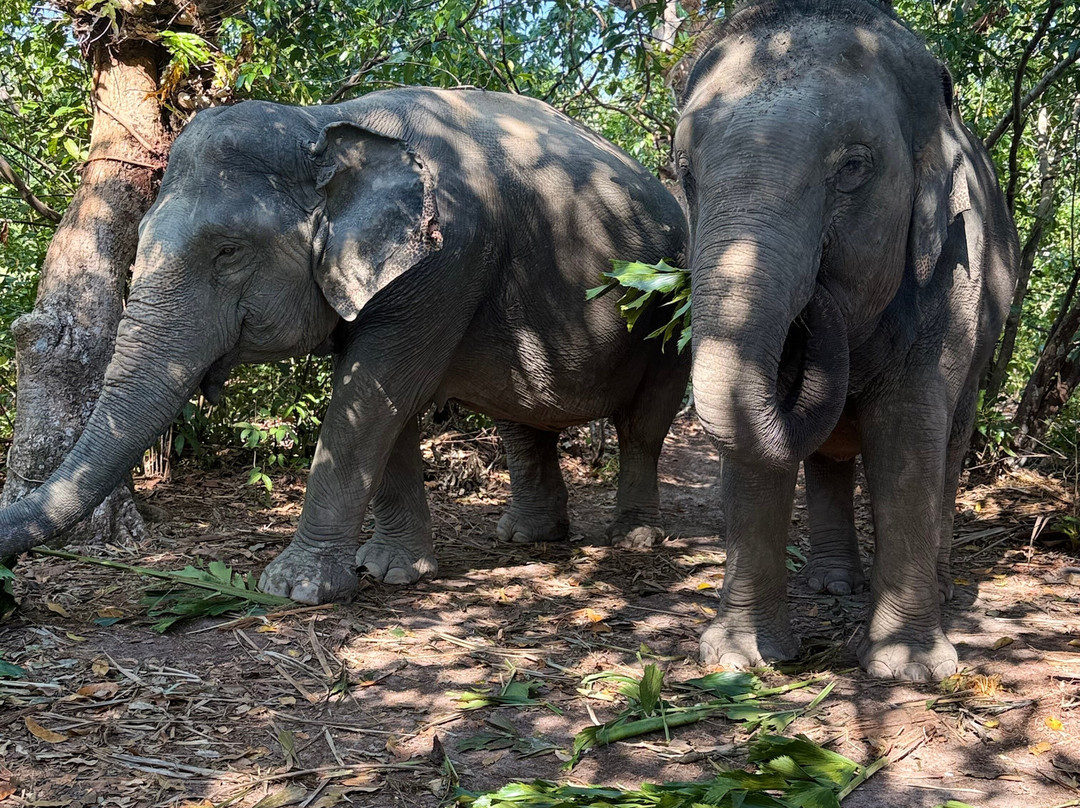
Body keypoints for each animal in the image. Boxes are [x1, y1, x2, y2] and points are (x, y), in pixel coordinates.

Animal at [0, 87, 690, 603]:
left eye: (229, 251)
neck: (326, 122)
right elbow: (384, 400)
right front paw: (391, 571)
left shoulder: (449, 258)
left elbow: (376, 394)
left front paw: (295, 588)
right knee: (521, 419)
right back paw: (526, 538)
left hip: (671, 304)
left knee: (643, 425)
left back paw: (633, 539)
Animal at [675, 0, 1018, 679]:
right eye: (684, 172)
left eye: (853, 168)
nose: (819, 296)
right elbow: (753, 447)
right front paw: (740, 660)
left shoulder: (950, 278)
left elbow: (909, 436)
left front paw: (908, 670)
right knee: (826, 454)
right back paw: (833, 586)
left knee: (951, 444)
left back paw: (940, 588)